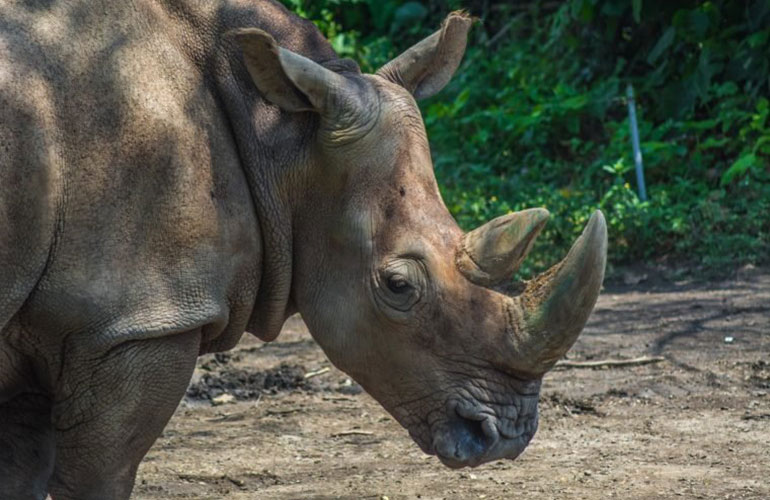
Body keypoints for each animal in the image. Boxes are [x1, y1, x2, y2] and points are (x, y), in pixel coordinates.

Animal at [0, 1, 607, 498]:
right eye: (397, 286)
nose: (505, 436)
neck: (283, 140)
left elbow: (21, 470)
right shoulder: (136, 318)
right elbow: (99, 476)